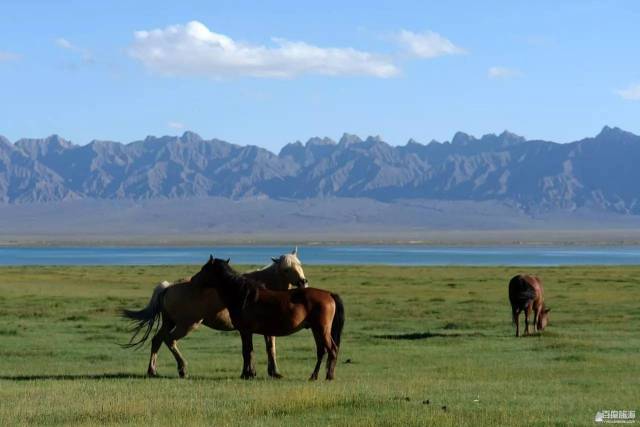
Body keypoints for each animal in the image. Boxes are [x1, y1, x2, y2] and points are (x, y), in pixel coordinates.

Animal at [123, 247, 310, 378]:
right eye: (286, 269)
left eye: (299, 264)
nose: (303, 282)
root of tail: (169, 286)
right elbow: (269, 348)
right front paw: (271, 372)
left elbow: (265, 348)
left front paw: (268, 372)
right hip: (187, 325)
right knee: (170, 340)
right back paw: (183, 369)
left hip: (170, 322)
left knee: (157, 340)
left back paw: (152, 371)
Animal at [200, 258, 344, 382]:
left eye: (204, 269)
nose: (198, 281)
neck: (244, 296)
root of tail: (329, 294)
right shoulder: (247, 332)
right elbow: (249, 351)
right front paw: (250, 373)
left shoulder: (245, 331)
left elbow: (246, 352)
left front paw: (246, 374)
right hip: (316, 330)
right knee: (321, 351)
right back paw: (313, 376)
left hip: (322, 329)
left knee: (332, 349)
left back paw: (329, 376)